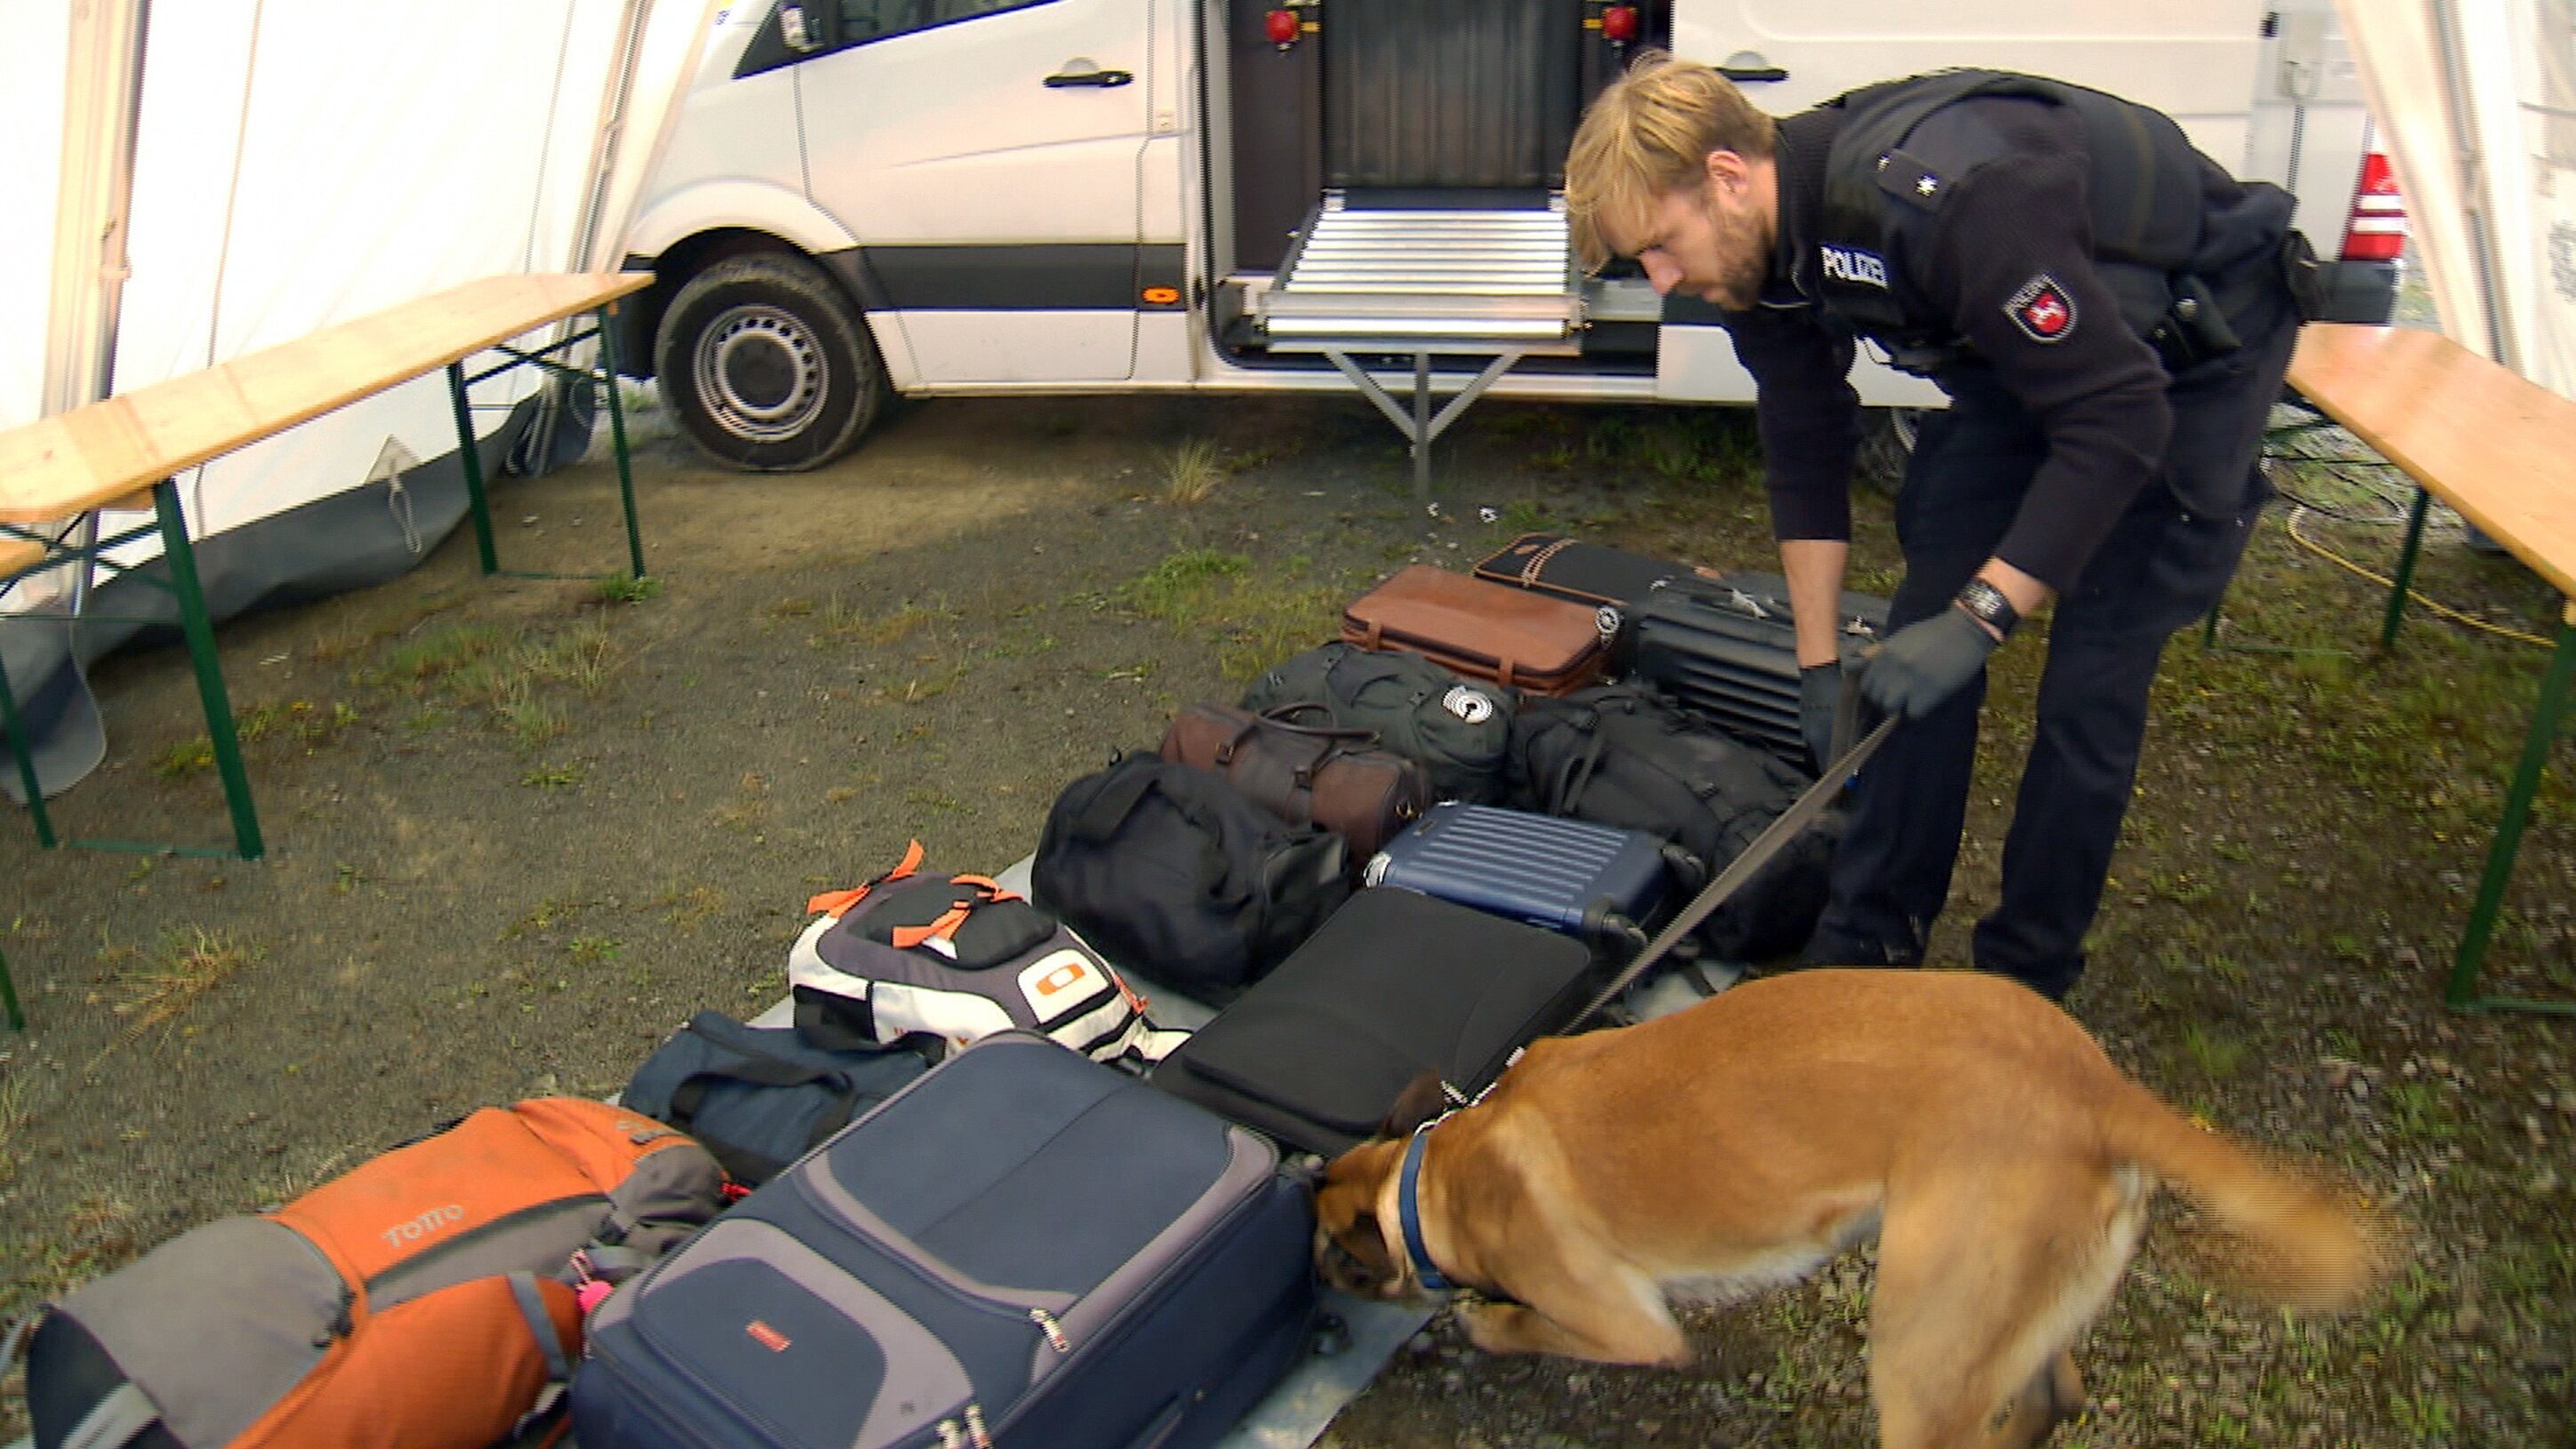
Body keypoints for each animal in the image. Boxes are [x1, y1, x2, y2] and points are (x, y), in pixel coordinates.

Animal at [1318, 964, 2380, 1433]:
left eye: (1329, 1252)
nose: (1322, 1283)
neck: (1438, 1168)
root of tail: (2096, 1083)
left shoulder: (1634, 1327)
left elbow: (1525, 1324)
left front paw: (1485, 1322)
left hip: (1914, 1350)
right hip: (1999, 1320)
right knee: (2055, 1395)